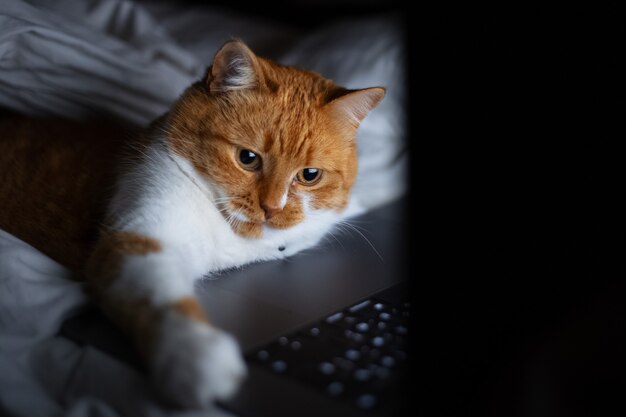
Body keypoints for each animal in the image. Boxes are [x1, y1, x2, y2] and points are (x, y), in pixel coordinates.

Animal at [0, 40, 382, 408]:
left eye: (310, 175)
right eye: (247, 158)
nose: (272, 208)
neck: (237, 245)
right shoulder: (138, 238)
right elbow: (160, 298)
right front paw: (195, 356)